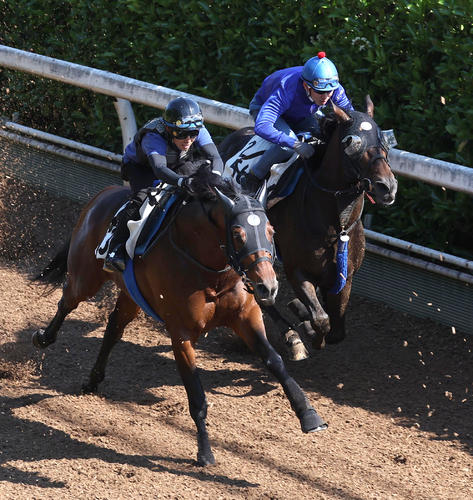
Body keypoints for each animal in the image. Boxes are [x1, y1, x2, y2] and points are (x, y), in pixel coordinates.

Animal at [31, 167, 326, 464]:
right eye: (238, 233)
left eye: (271, 230)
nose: (268, 286)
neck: (211, 271)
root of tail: (103, 194)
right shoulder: (181, 334)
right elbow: (196, 395)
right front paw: (205, 451)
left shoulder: (245, 316)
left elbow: (275, 361)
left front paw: (309, 415)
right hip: (85, 276)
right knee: (67, 301)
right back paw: (42, 337)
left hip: (131, 295)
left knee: (113, 328)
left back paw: (93, 379)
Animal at [219, 95, 396, 360]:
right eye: (351, 142)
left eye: (383, 140)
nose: (387, 186)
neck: (334, 225)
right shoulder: (296, 270)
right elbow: (321, 319)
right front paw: (307, 327)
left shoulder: (344, 275)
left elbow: (337, 329)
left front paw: (303, 314)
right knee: (261, 295)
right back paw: (292, 337)